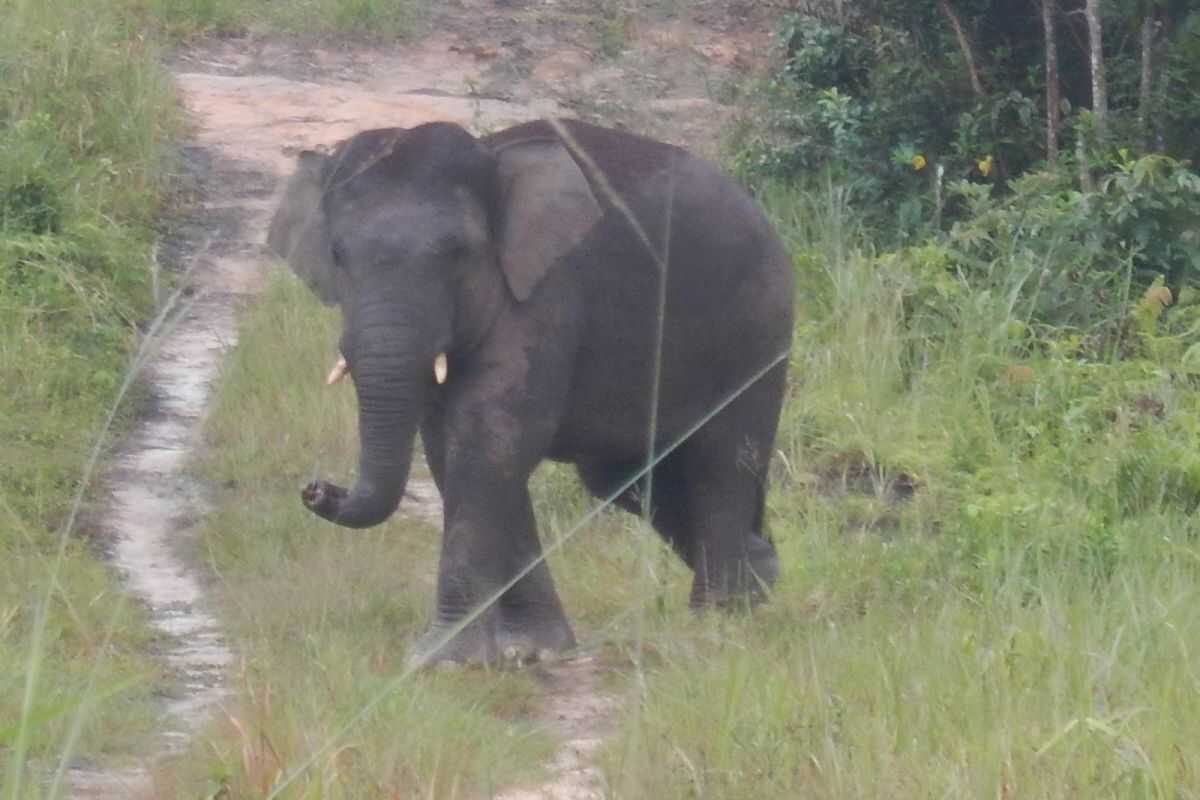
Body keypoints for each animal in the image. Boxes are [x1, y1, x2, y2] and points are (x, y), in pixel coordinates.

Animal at [267, 118, 794, 666]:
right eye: (337, 255)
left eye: (458, 253)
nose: (316, 488)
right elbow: (452, 450)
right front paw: (534, 650)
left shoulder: (545, 293)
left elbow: (490, 436)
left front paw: (441, 660)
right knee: (628, 479)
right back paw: (761, 576)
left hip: (757, 323)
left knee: (723, 458)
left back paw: (720, 618)